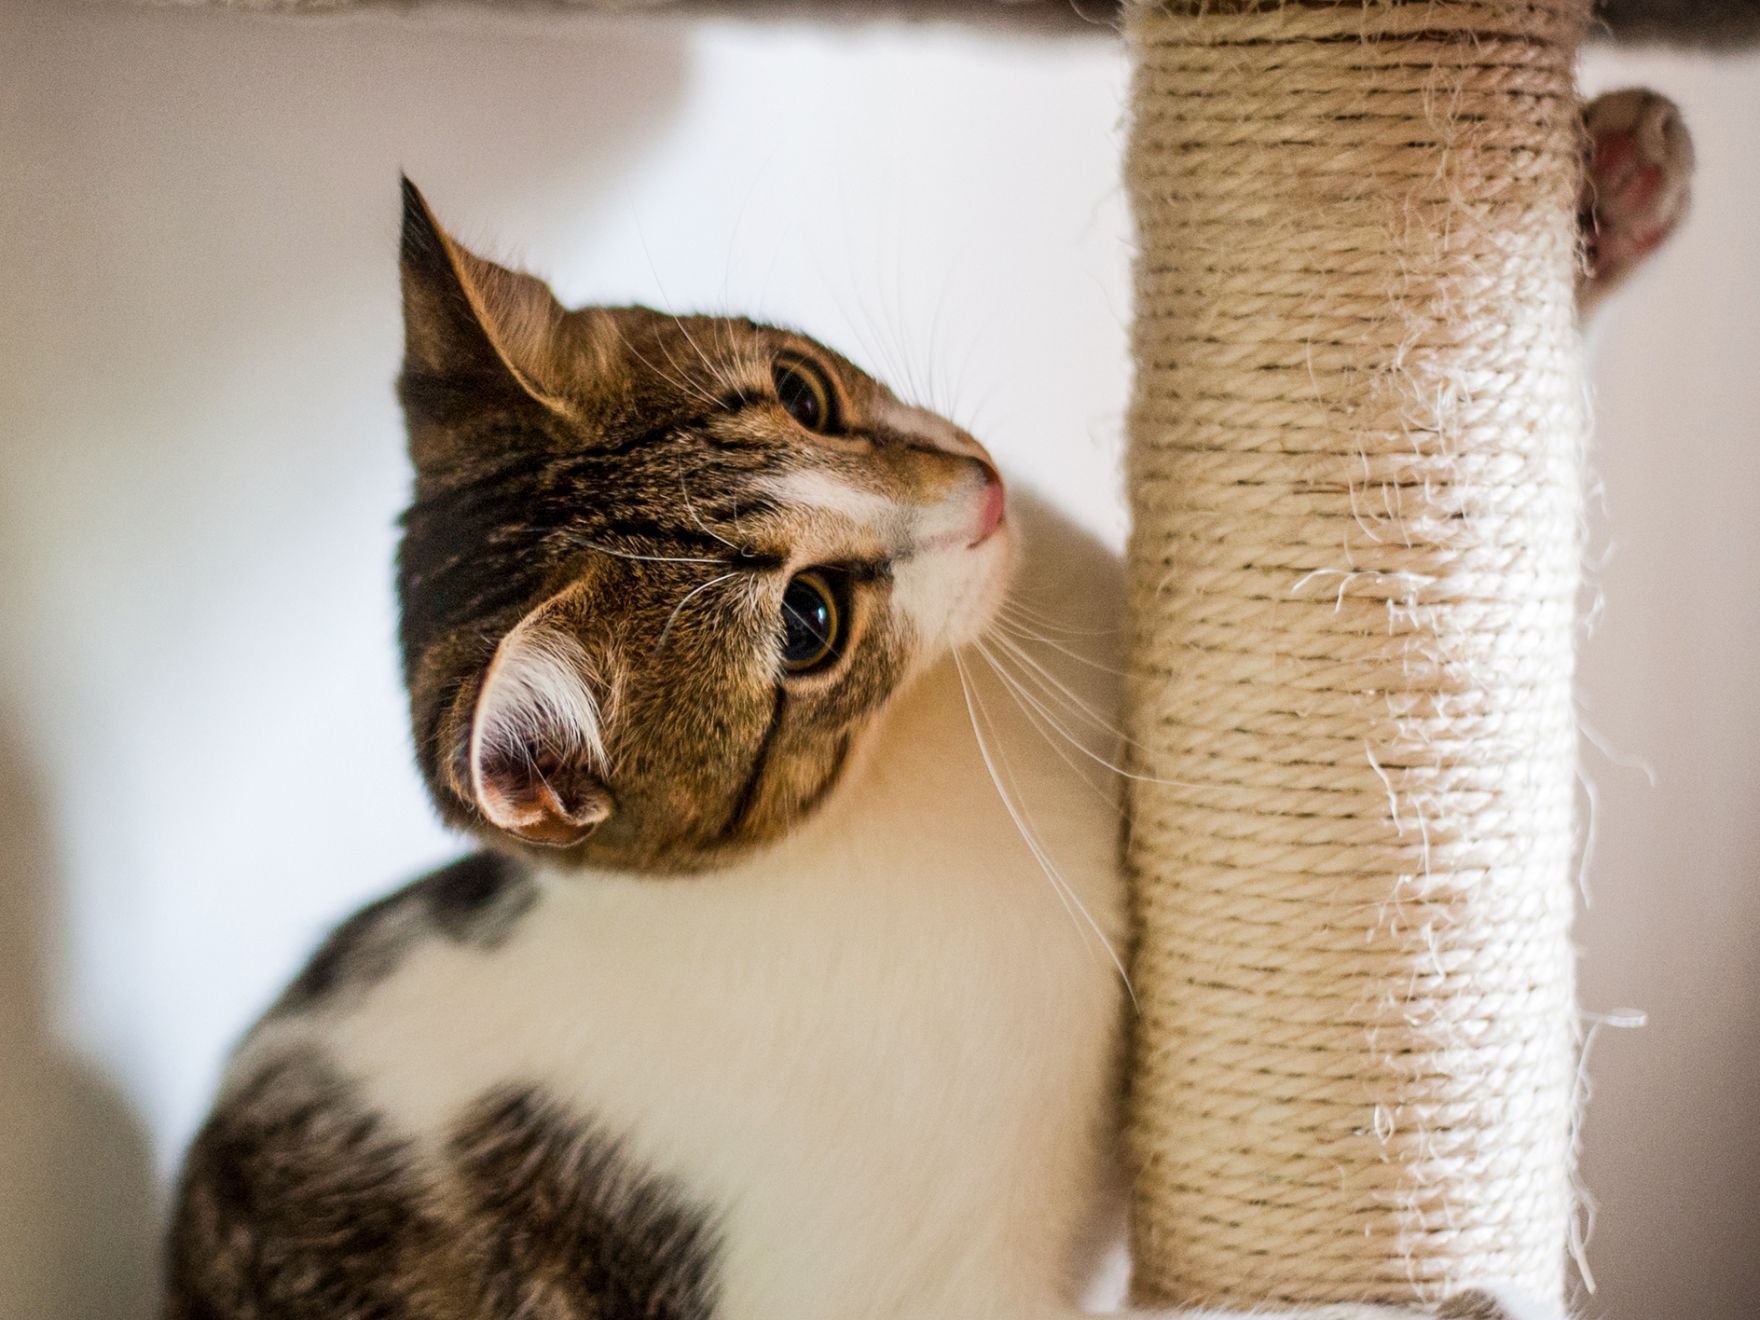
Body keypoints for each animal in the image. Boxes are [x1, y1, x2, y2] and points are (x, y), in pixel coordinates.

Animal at [161, 88, 1689, 1320]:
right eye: (808, 622)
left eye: (804, 391)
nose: (979, 493)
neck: (920, 759)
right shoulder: (937, 1291)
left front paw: (1597, 185)